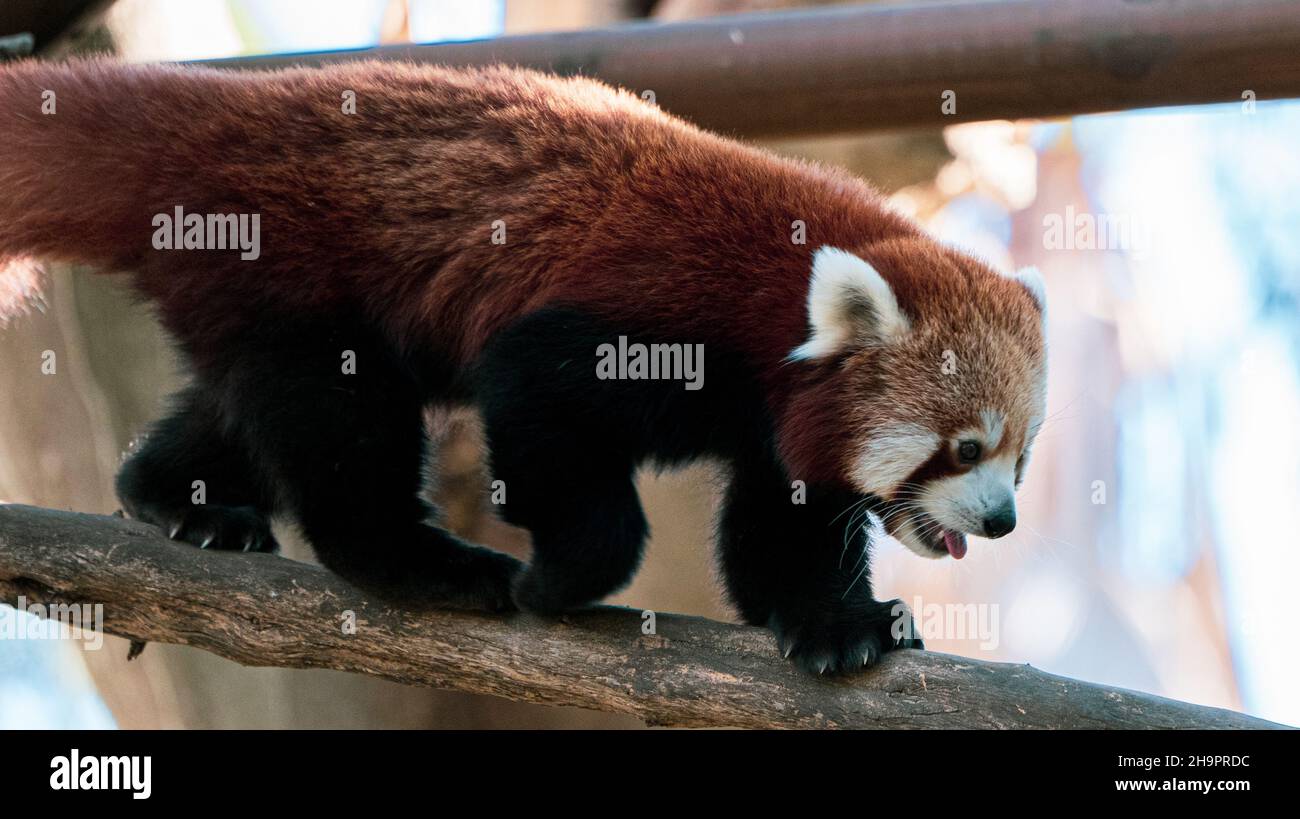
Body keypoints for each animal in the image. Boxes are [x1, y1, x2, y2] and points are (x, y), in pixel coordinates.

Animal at [0, 59, 1045, 676]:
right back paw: (424, 563)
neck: (778, 294)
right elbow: (543, 408)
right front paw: (559, 581)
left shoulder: (772, 420)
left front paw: (837, 621)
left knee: (245, 403)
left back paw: (175, 496)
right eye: (964, 447)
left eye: (1021, 458)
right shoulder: (640, 315)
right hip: (291, 258)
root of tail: (223, 110)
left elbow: (781, 529)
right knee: (339, 428)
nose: (1003, 522)